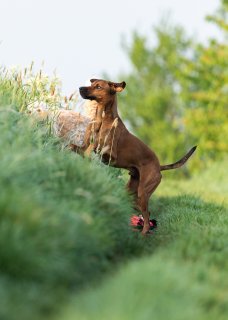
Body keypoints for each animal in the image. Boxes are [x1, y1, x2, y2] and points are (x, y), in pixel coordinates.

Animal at [79, 78, 196, 232]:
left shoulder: (111, 155)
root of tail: (159, 166)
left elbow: (95, 146)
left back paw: (144, 232)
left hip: (143, 191)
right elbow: (85, 146)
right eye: (91, 83)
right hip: (131, 190)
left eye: (98, 87)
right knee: (143, 211)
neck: (102, 119)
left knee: (146, 216)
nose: (80, 88)